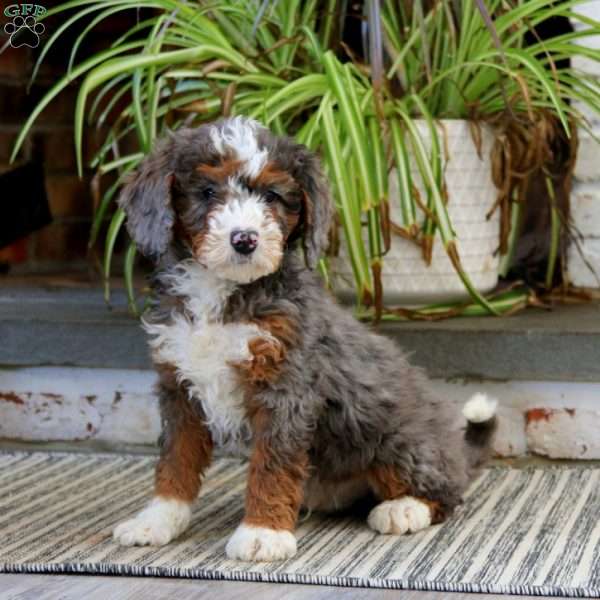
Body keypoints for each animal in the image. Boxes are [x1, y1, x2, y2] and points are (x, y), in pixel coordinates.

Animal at [112, 116, 496, 564]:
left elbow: (272, 464)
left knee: (445, 492)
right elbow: (175, 460)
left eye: (272, 196)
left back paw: (403, 509)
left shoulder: (286, 388)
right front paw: (158, 519)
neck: (222, 293)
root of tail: (455, 450)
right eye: (207, 192)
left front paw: (263, 532)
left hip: (396, 437)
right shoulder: (180, 387)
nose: (245, 239)